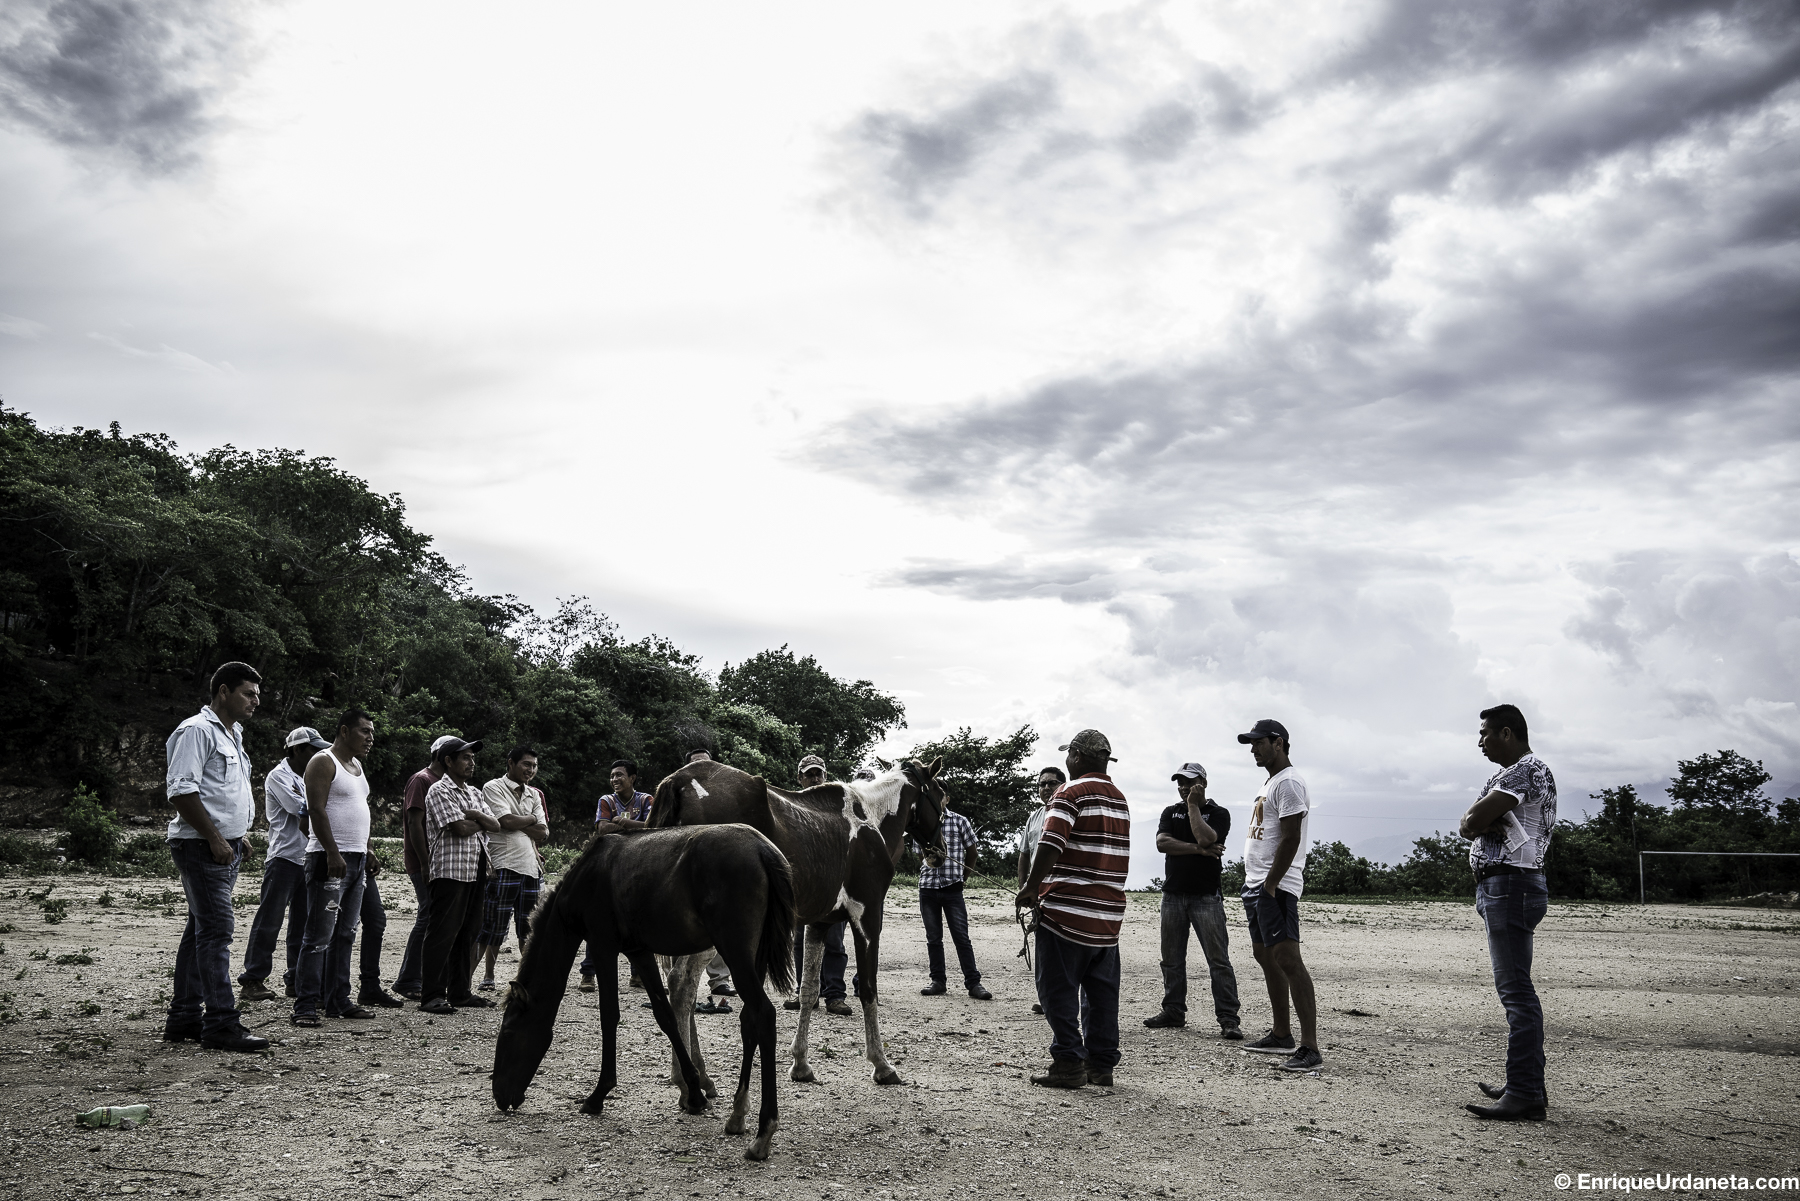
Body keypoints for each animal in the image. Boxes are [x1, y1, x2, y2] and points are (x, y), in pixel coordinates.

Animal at [496, 828, 799, 1166]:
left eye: (508, 1033)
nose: (499, 1096)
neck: (587, 876)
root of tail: (762, 849)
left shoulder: (602, 945)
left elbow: (609, 1015)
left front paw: (598, 1095)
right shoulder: (638, 951)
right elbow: (665, 1016)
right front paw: (695, 1094)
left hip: (735, 951)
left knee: (763, 1015)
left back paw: (763, 1133)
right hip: (752, 956)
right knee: (750, 1020)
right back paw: (737, 1115)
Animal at [651, 759, 957, 1087]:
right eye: (941, 797)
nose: (940, 851)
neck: (869, 816)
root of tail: (680, 781)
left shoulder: (820, 922)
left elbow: (809, 990)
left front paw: (800, 1063)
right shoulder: (868, 915)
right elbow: (868, 989)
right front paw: (881, 1064)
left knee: (677, 983)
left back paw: (695, 1074)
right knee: (682, 984)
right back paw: (688, 1078)